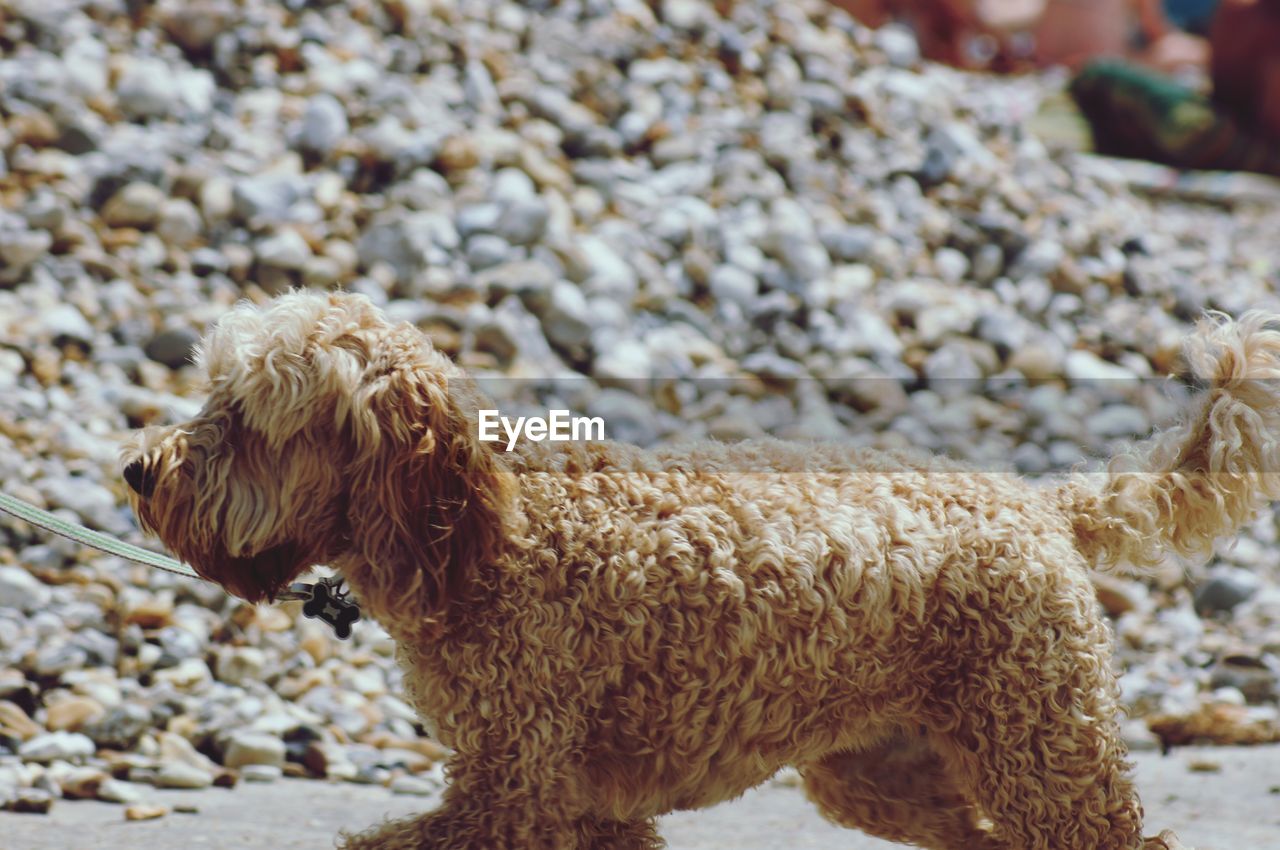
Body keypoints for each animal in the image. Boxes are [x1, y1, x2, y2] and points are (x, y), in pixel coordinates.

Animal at [117, 291, 1269, 850]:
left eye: (243, 415)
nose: (135, 470)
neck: (484, 536)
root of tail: (1033, 501)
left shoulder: (510, 797)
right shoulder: (582, 814)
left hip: (1044, 753)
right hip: (879, 774)